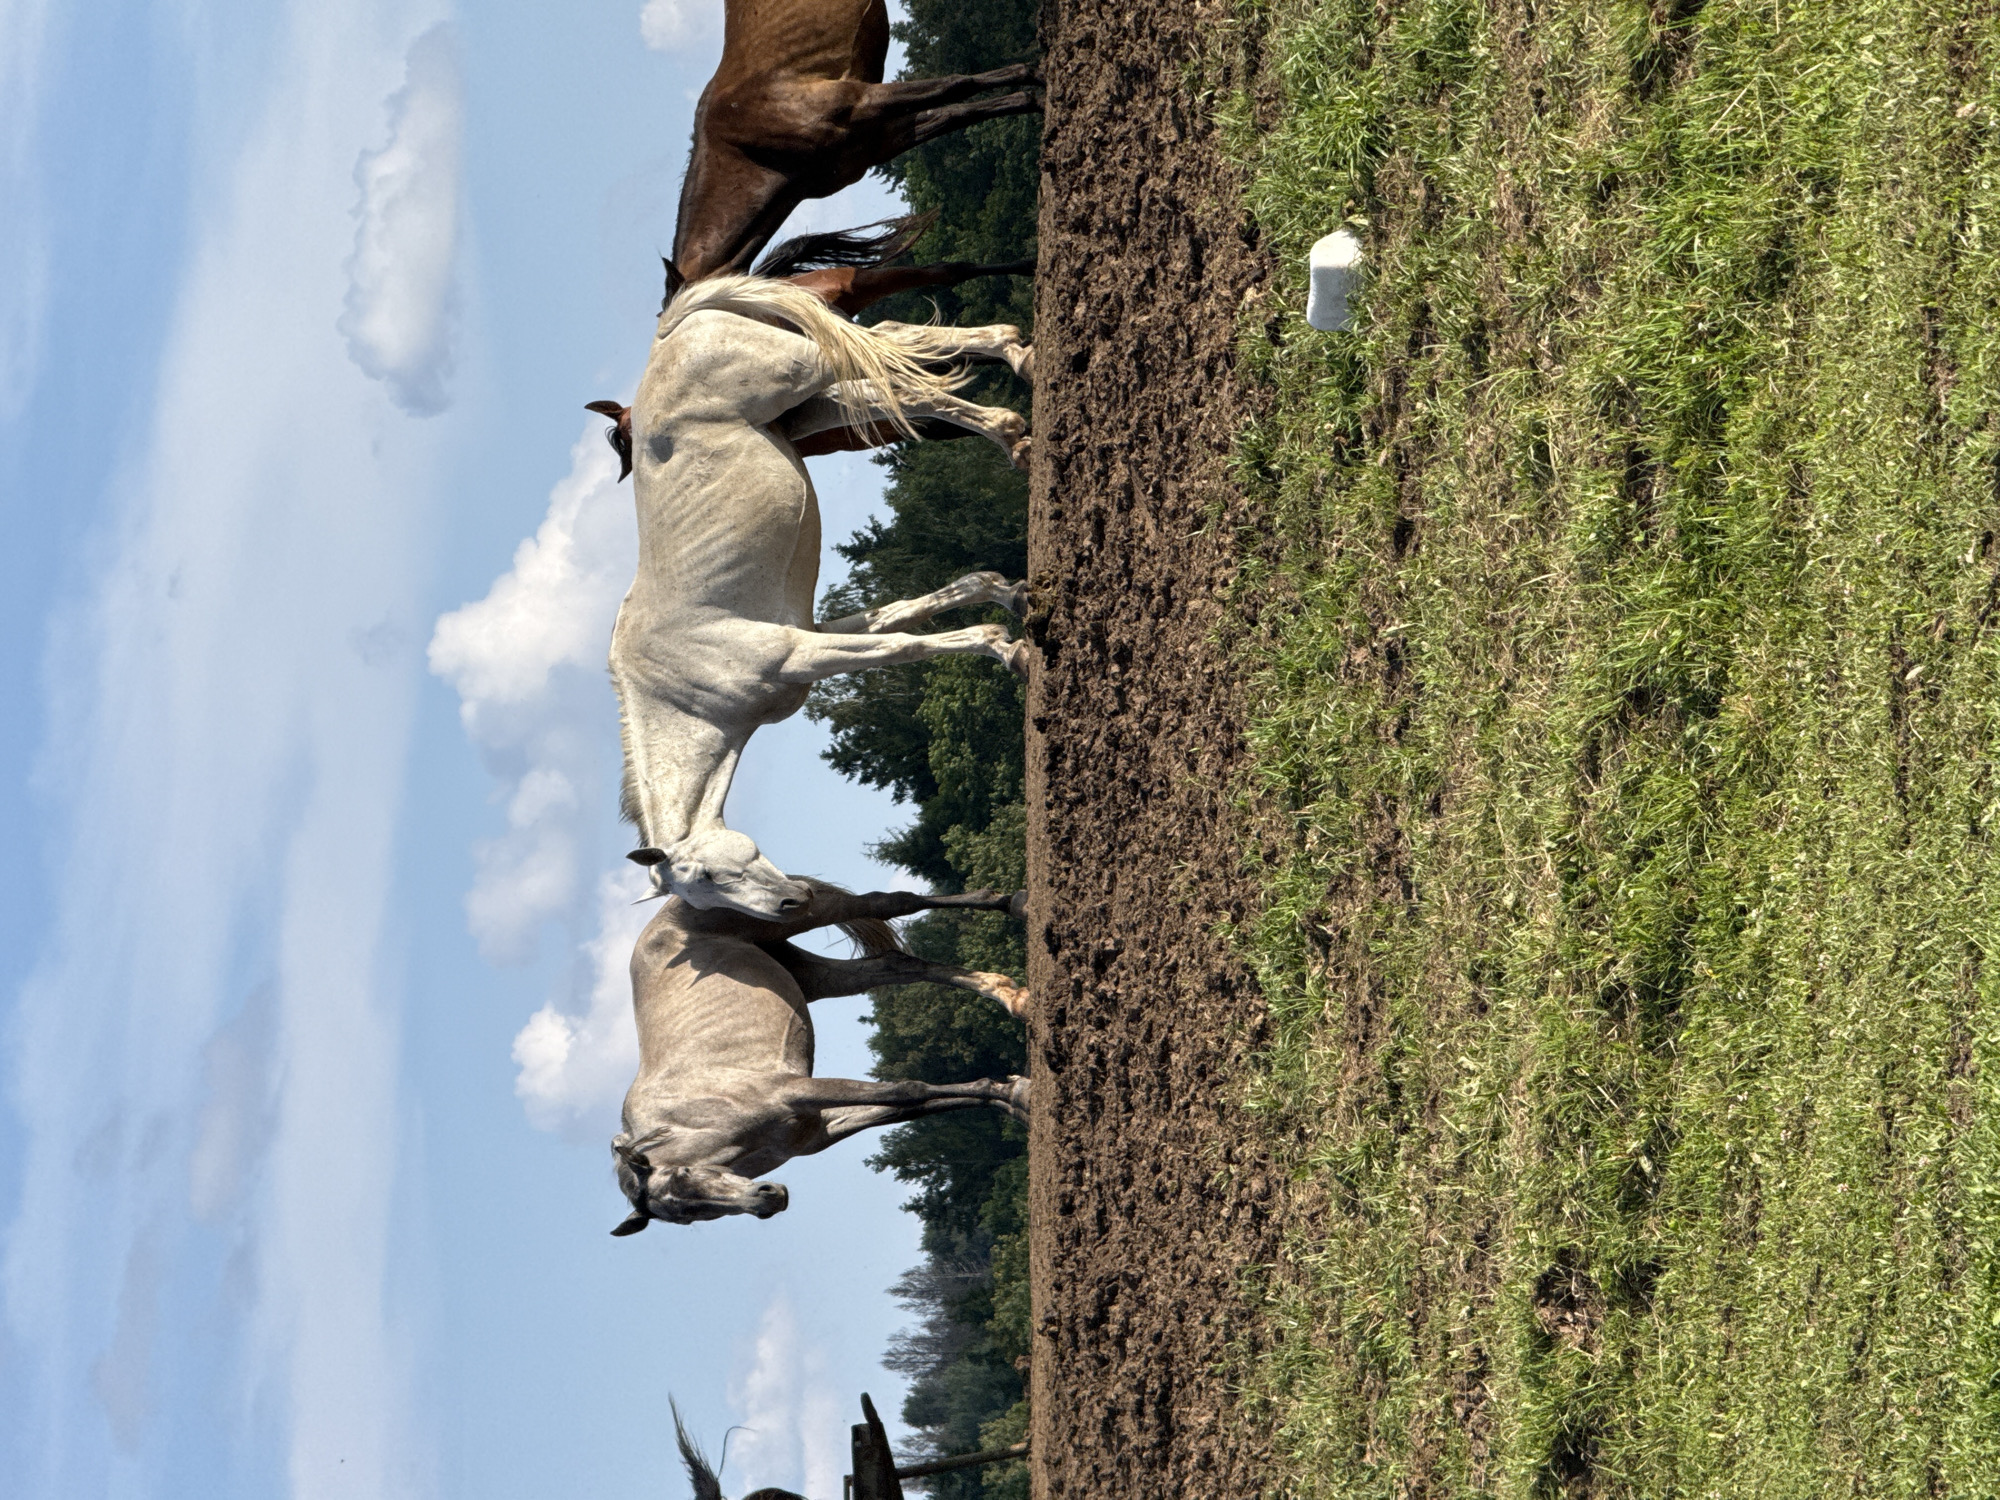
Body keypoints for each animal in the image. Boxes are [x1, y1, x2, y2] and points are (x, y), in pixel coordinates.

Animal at [609, 272, 1035, 918]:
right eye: (705, 895)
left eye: (705, 876)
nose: (789, 906)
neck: (678, 680)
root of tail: (674, 330)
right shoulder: (814, 633)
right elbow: (910, 612)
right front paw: (1006, 594)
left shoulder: (798, 653)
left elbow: (906, 646)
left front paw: (1008, 648)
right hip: (812, 405)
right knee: (899, 372)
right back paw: (1015, 375)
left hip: (806, 370)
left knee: (893, 353)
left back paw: (1013, 416)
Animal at [610, 881, 1030, 1233]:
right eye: (690, 1215)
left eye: (684, 1174)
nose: (768, 1200)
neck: (693, 1121)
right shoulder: (821, 1128)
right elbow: (917, 1106)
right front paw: (1011, 1095)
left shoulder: (797, 1091)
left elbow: (907, 1091)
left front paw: (1020, 1097)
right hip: (812, 976)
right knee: (895, 965)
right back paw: (1011, 995)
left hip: (807, 913)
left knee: (891, 901)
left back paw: (1015, 904)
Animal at [670, 0, 1039, 283]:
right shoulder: (878, 139)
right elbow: (957, 112)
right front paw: (1029, 96)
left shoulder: (860, 101)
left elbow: (958, 83)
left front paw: (1034, 76)